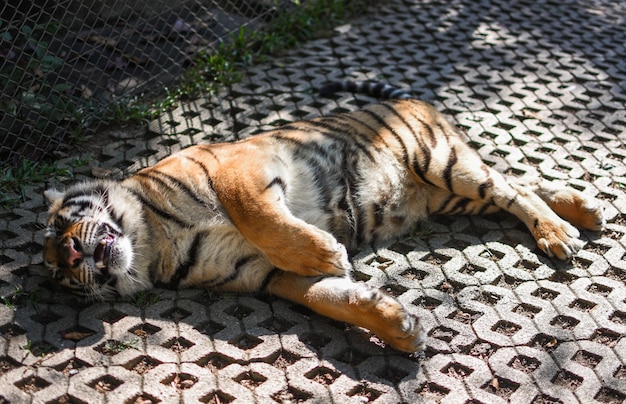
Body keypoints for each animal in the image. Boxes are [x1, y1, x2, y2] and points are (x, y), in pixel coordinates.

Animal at [41, 80, 604, 352]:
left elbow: (256, 215)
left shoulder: (237, 167)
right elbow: (330, 299)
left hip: (443, 163)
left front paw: (325, 252)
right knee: (520, 184)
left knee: (515, 191)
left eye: (57, 225)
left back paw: (560, 233)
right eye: (60, 277)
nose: (69, 253)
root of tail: (413, 99)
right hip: (449, 194)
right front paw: (399, 328)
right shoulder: (265, 275)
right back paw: (586, 210)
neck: (155, 241)